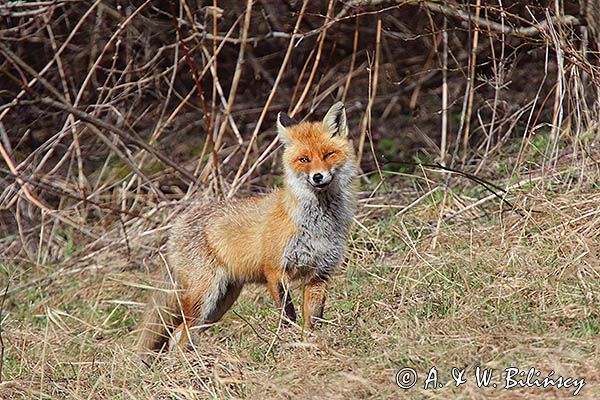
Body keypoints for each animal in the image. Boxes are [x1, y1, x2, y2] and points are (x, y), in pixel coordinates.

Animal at [138, 101, 354, 354]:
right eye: (304, 159)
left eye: (328, 154)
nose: (318, 177)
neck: (316, 224)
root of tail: (177, 224)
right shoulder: (275, 269)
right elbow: (287, 314)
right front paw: (287, 340)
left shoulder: (319, 273)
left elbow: (314, 317)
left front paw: (310, 341)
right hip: (206, 294)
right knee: (180, 335)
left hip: (220, 302)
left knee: (180, 334)